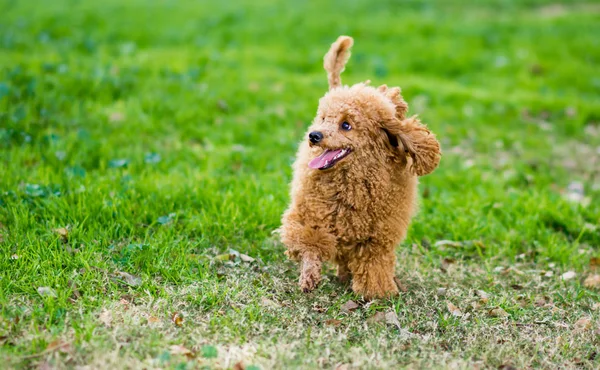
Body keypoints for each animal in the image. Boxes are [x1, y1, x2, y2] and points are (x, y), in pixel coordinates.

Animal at [280, 36, 440, 300]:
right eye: (323, 118)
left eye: (346, 125)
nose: (314, 135)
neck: (351, 182)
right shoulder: (307, 217)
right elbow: (310, 244)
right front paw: (309, 277)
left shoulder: (376, 237)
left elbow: (373, 264)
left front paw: (376, 293)